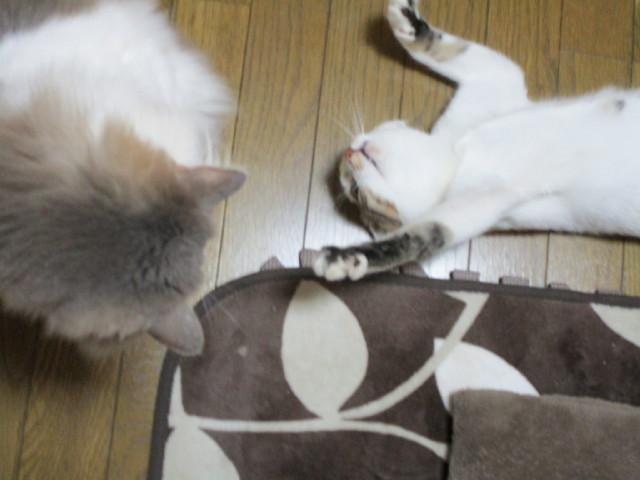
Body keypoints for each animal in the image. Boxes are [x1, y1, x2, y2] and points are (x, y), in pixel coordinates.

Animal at [314, 0, 640, 281]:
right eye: (356, 193)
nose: (348, 153)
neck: (456, 159)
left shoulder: (497, 83)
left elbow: (459, 54)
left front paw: (409, 25)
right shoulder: (477, 206)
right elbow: (415, 238)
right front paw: (347, 258)